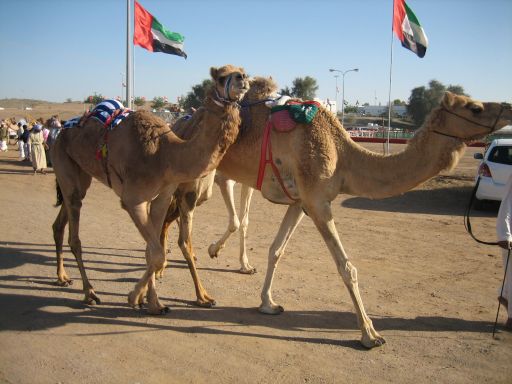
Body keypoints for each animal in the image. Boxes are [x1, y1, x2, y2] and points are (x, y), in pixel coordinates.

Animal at [51, 63, 250, 316]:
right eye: (222, 76)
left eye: (243, 71)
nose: (242, 78)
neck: (166, 155)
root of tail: (61, 130)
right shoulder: (133, 200)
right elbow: (156, 254)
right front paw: (134, 297)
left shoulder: (161, 198)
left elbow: (152, 252)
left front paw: (153, 303)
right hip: (62, 162)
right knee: (74, 233)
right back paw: (89, 293)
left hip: (80, 176)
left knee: (60, 222)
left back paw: (63, 277)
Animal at [162, 76, 510, 350]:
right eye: (474, 107)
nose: (507, 107)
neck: (343, 155)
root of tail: (179, 120)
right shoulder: (318, 201)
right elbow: (347, 267)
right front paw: (370, 334)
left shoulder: (301, 202)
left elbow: (277, 250)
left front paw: (268, 304)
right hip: (193, 176)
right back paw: (187, 285)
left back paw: (171, 264)